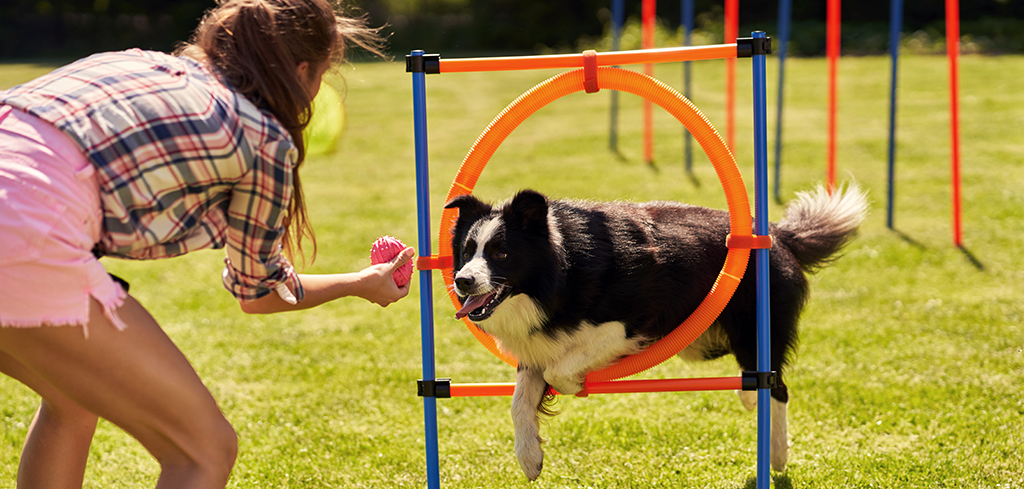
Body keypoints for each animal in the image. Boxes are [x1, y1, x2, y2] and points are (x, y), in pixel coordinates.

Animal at [444, 185, 868, 478]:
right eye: (466, 252)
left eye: (501, 253)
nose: (463, 281)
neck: (559, 269)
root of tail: (777, 235)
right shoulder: (538, 341)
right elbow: (520, 400)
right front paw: (530, 457)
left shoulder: (631, 322)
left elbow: (559, 370)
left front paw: (576, 383)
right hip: (703, 343)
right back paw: (749, 399)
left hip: (752, 327)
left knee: (776, 384)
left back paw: (777, 454)